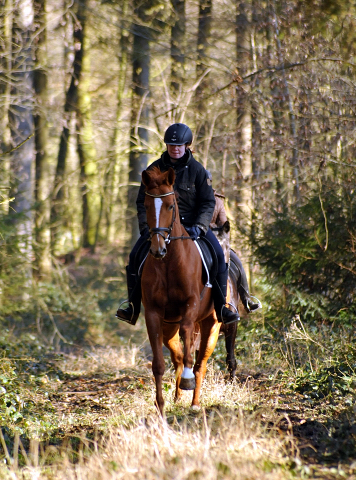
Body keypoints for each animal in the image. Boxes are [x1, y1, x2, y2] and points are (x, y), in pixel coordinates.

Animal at [140, 166, 221, 412]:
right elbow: (158, 364)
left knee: (200, 364)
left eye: (170, 205)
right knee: (176, 357)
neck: (168, 263)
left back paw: (194, 402)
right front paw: (160, 405)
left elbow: (188, 348)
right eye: (146, 205)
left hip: (211, 324)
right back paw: (177, 397)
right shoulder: (153, 314)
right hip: (169, 327)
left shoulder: (190, 306)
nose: (157, 249)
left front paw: (186, 381)